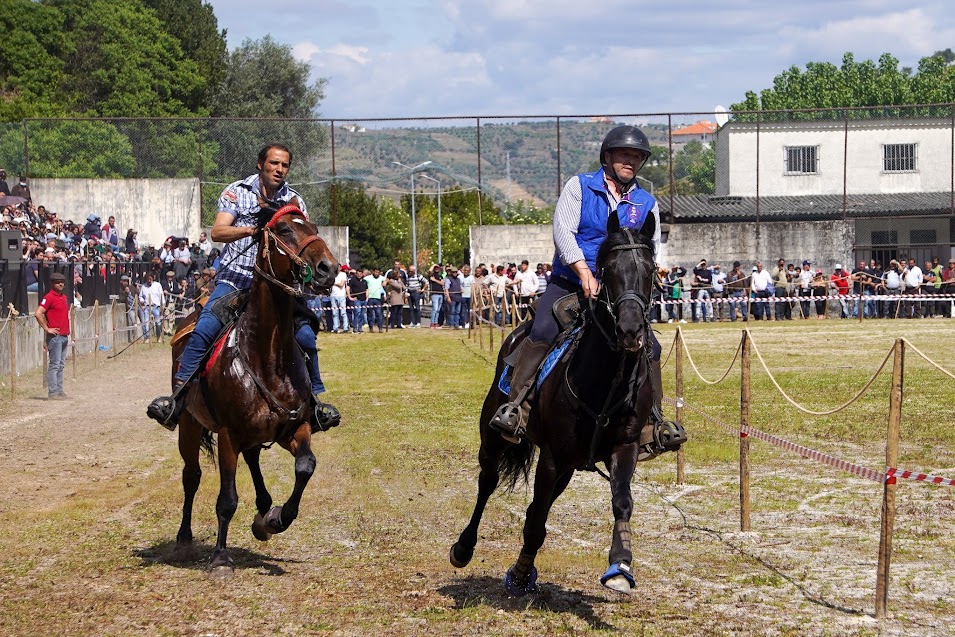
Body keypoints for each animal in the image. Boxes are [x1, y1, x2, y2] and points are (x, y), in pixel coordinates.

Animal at [172, 204, 340, 572]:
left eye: (313, 228)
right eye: (285, 230)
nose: (329, 268)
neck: (266, 355)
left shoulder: (295, 426)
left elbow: (305, 466)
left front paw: (276, 519)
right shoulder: (227, 434)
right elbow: (227, 499)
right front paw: (221, 557)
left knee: (251, 459)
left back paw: (264, 510)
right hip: (189, 424)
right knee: (191, 475)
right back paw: (184, 537)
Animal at [450, 211, 668, 592]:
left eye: (650, 268)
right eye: (608, 269)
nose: (630, 330)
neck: (604, 380)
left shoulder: (623, 448)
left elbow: (622, 502)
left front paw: (620, 566)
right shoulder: (552, 457)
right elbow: (536, 522)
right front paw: (521, 573)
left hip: (571, 465)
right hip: (494, 436)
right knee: (488, 482)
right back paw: (463, 548)